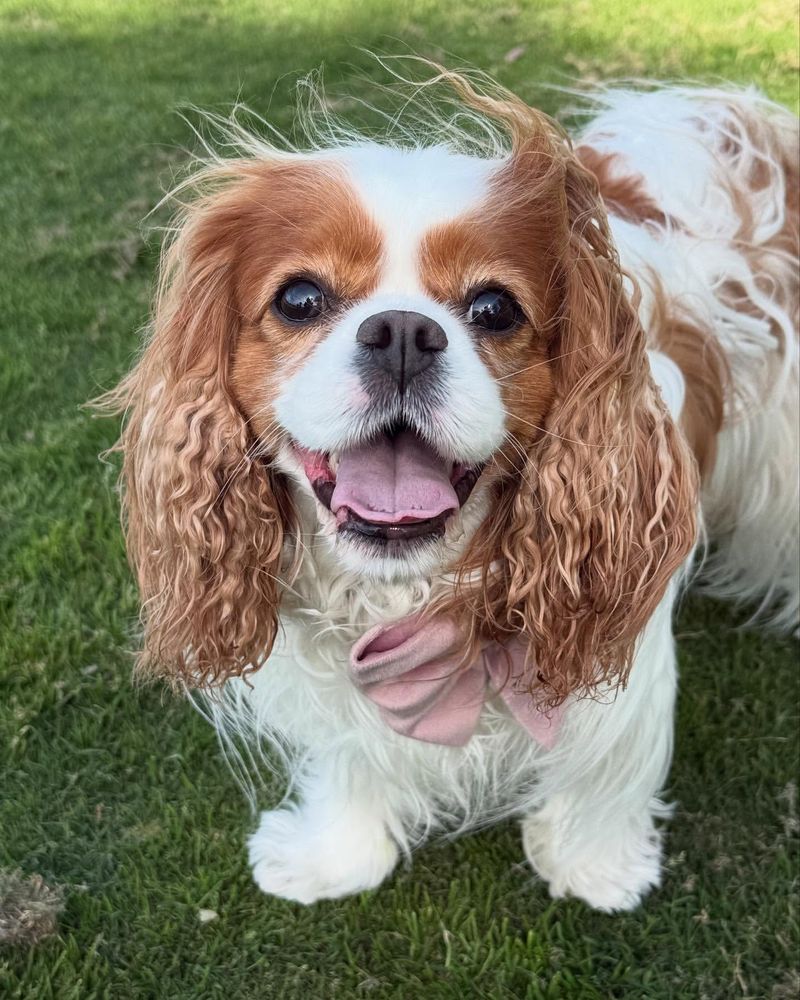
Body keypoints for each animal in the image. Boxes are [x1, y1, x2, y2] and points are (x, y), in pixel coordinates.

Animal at [104, 70, 792, 912]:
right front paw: (338, 855)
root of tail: (734, 110)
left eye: (494, 308)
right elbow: (350, 756)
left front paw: (594, 865)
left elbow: (608, 764)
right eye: (299, 299)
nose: (401, 332)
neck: (420, 596)